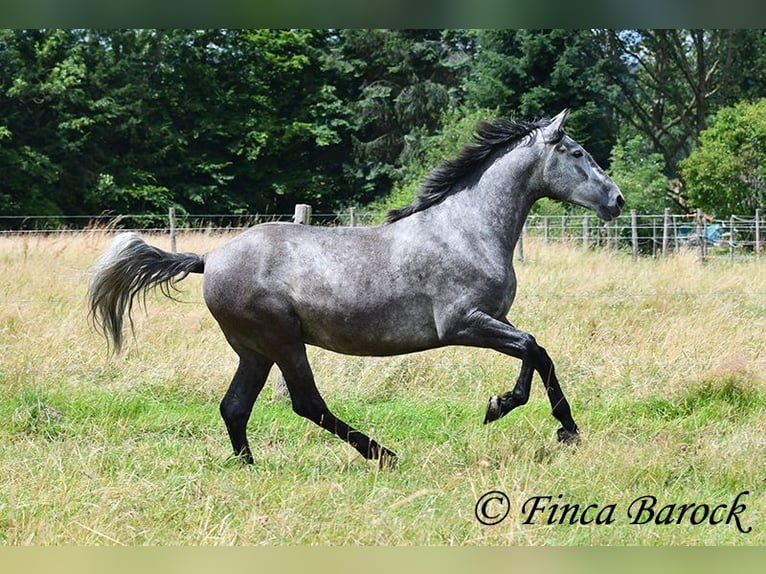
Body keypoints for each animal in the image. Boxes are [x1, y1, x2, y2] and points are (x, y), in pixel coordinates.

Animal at [88, 111, 624, 468]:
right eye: (578, 153)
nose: (617, 200)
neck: (467, 229)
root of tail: (209, 258)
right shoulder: (463, 324)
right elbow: (534, 349)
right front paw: (524, 415)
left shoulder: (495, 319)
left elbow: (537, 353)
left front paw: (544, 421)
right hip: (282, 341)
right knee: (306, 403)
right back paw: (383, 453)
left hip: (254, 350)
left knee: (235, 407)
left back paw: (250, 468)